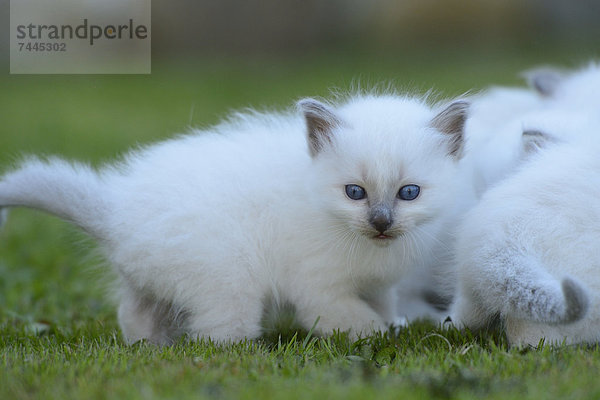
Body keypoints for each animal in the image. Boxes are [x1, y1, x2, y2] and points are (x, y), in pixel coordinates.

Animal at [0, 94, 468, 344]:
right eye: (355, 192)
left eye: (409, 193)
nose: (381, 221)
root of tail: (114, 210)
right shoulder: (318, 288)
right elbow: (352, 319)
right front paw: (376, 335)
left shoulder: (379, 283)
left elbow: (384, 304)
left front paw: (393, 324)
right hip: (228, 282)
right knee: (213, 337)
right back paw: (243, 352)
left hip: (153, 277)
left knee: (134, 312)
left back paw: (148, 346)